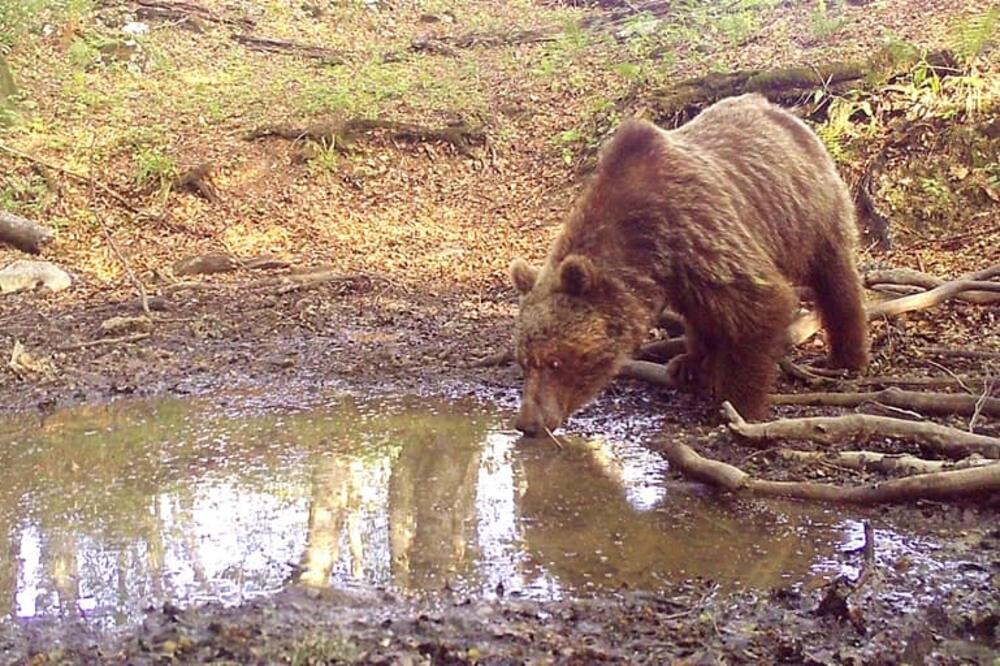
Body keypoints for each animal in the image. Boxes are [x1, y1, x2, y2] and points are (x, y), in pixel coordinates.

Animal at [508, 94, 868, 436]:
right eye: (524, 360)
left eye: (555, 361)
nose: (528, 423)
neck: (643, 240)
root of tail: (784, 114)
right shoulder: (681, 265)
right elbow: (708, 313)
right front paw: (698, 365)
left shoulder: (700, 229)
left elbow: (761, 304)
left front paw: (738, 404)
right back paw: (690, 363)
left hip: (809, 211)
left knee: (835, 278)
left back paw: (848, 355)